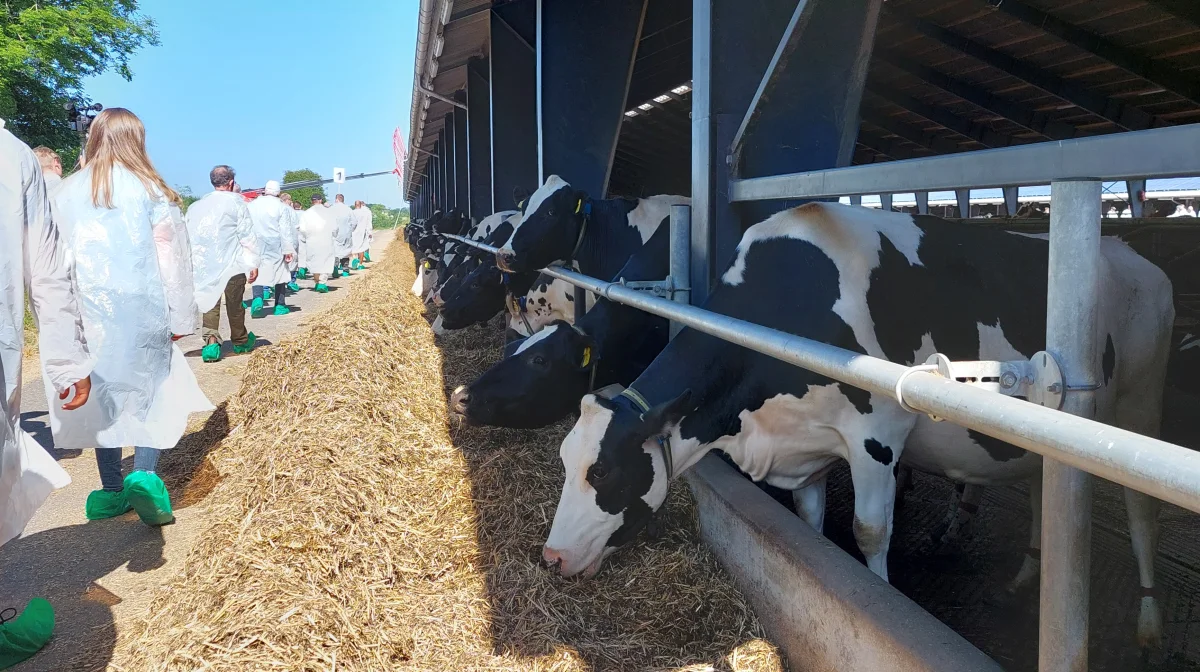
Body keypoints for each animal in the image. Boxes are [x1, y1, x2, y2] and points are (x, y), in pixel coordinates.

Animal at [542, 201, 1171, 648]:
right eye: (565, 463)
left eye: (603, 473)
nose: (550, 558)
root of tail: (1133, 253)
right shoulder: (806, 448)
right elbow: (812, 524)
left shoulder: (877, 437)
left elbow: (870, 532)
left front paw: (881, 593)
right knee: (1045, 489)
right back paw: (1026, 578)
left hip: (1138, 403)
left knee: (1142, 511)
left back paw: (1148, 621)